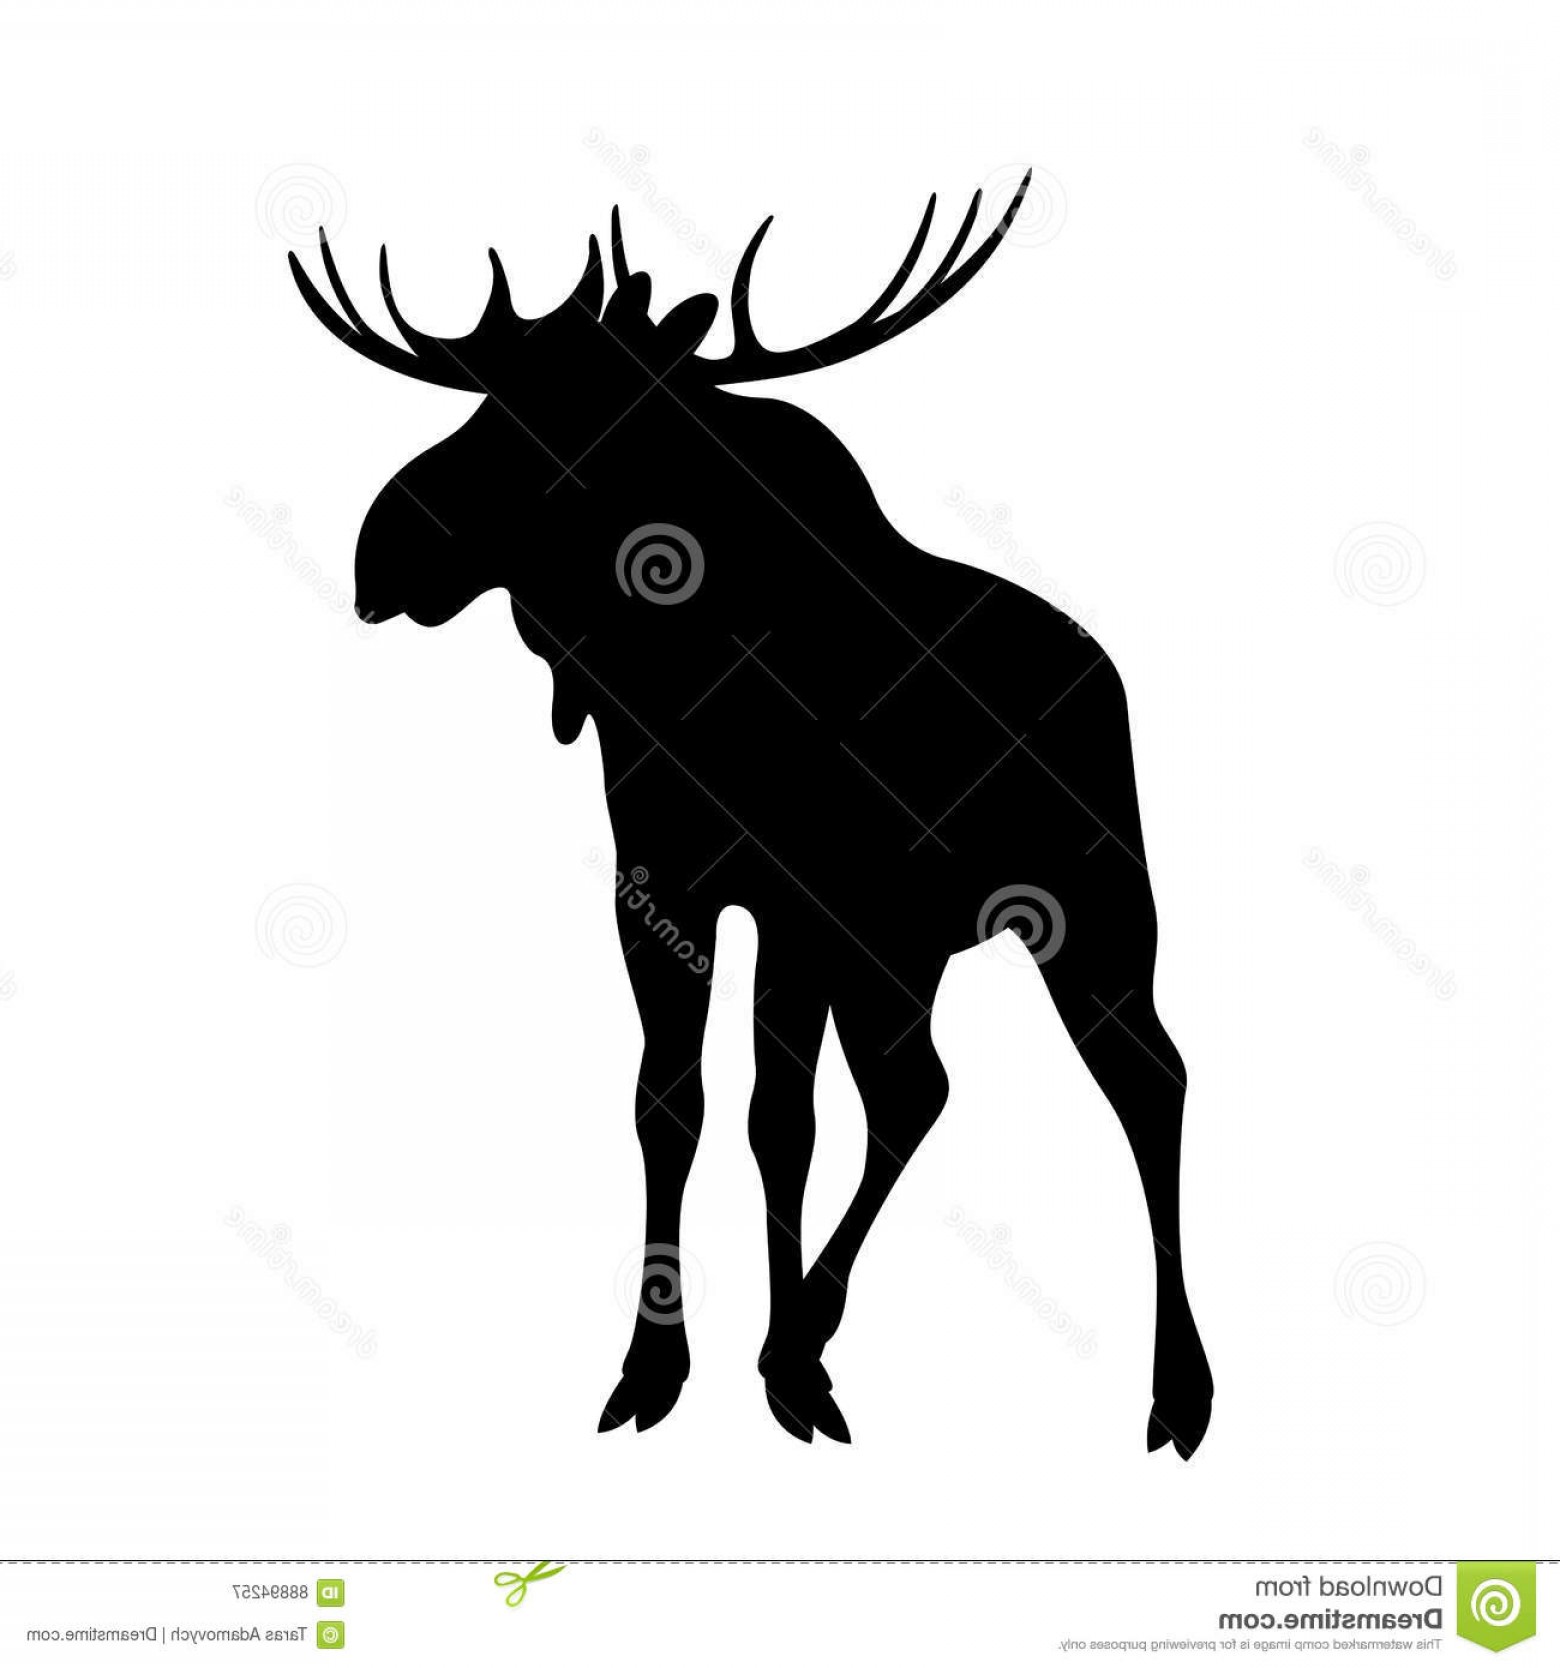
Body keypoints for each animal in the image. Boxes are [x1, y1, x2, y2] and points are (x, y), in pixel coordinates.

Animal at [288, 173, 1214, 1459]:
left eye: (584, 418)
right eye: (489, 397)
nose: (383, 546)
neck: (684, 681)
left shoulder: (800, 898)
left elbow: (783, 1119)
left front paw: (782, 1365)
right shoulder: (660, 885)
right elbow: (672, 1105)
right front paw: (660, 1365)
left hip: (1092, 904)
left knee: (1147, 1081)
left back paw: (1179, 1388)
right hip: (904, 950)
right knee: (921, 1090)